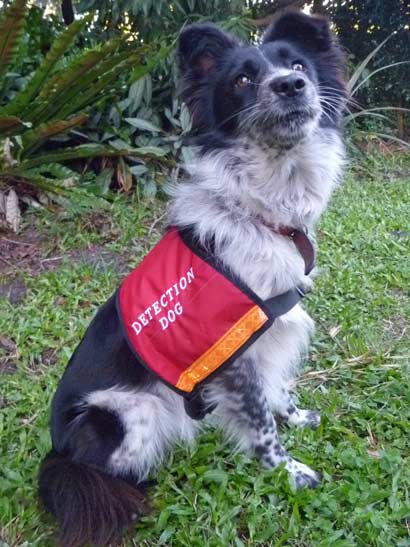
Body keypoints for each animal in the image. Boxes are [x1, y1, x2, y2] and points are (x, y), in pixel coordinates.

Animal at [37, 12, 346, 547]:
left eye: (298, 66)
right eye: (242, 80)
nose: (291, 86)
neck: (261, 209)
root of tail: (57, 453)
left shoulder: (269, 335)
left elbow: (276, 391)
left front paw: (296, 417)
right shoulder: (235, 350)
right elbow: (260, 421)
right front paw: (286, 471)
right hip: (127, 413)